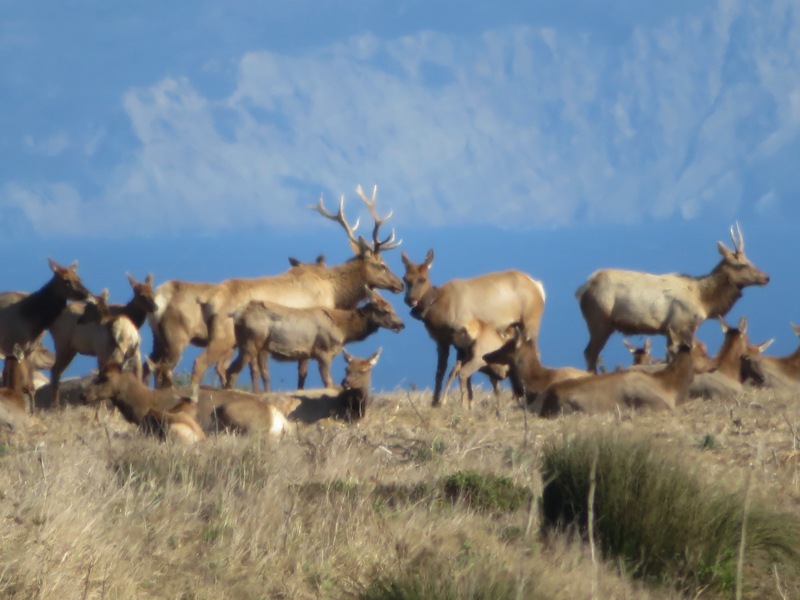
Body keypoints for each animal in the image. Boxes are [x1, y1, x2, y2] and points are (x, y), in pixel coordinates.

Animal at [225, 288, 404, 392]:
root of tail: (237, 315)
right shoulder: (323, 352)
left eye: (393, 308)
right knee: (231, 371)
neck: (342, 330)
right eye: (385, 310)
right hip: (251, 342)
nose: (401, 324)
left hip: (256, 345)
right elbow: (329, 383)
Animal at [400, 248, 544, 408]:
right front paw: (438, 402)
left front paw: (462, 402)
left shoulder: (459, 338)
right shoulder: (442, 340)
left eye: (423, 279)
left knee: (536, 353)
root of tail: (539, 287)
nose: (410, 300)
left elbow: (455, 370)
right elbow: (441, 370)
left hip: (530, 323)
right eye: (405, 278)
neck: (440, 306)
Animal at [576, 224, 768, 372]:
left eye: (749, 260)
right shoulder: (679, 324)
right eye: (742, 265)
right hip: (599, 320)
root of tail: (581, 289)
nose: (767, 277)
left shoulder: (670, 330)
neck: (704, 301)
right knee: (590, 352)